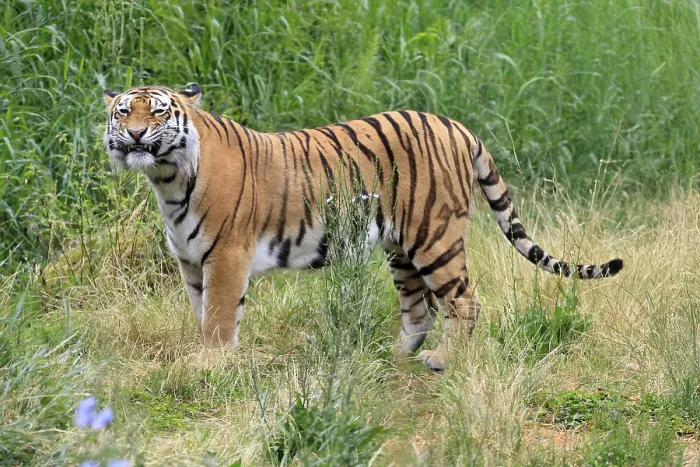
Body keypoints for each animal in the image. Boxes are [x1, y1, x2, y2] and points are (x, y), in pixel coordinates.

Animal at [102, 83, 623, 370]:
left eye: (159, 111)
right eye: (123, 111)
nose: (134, 134)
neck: (167, 179)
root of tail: (458, 126)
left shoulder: (226, 256)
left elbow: (217, 318)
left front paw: (211, 366)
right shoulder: (192, 261)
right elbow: (203, 314)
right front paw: (209, 360)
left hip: (434, 237)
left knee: (463, 300)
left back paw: (444, 361)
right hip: (400, 247)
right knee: (419, 308)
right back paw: (393, 356)